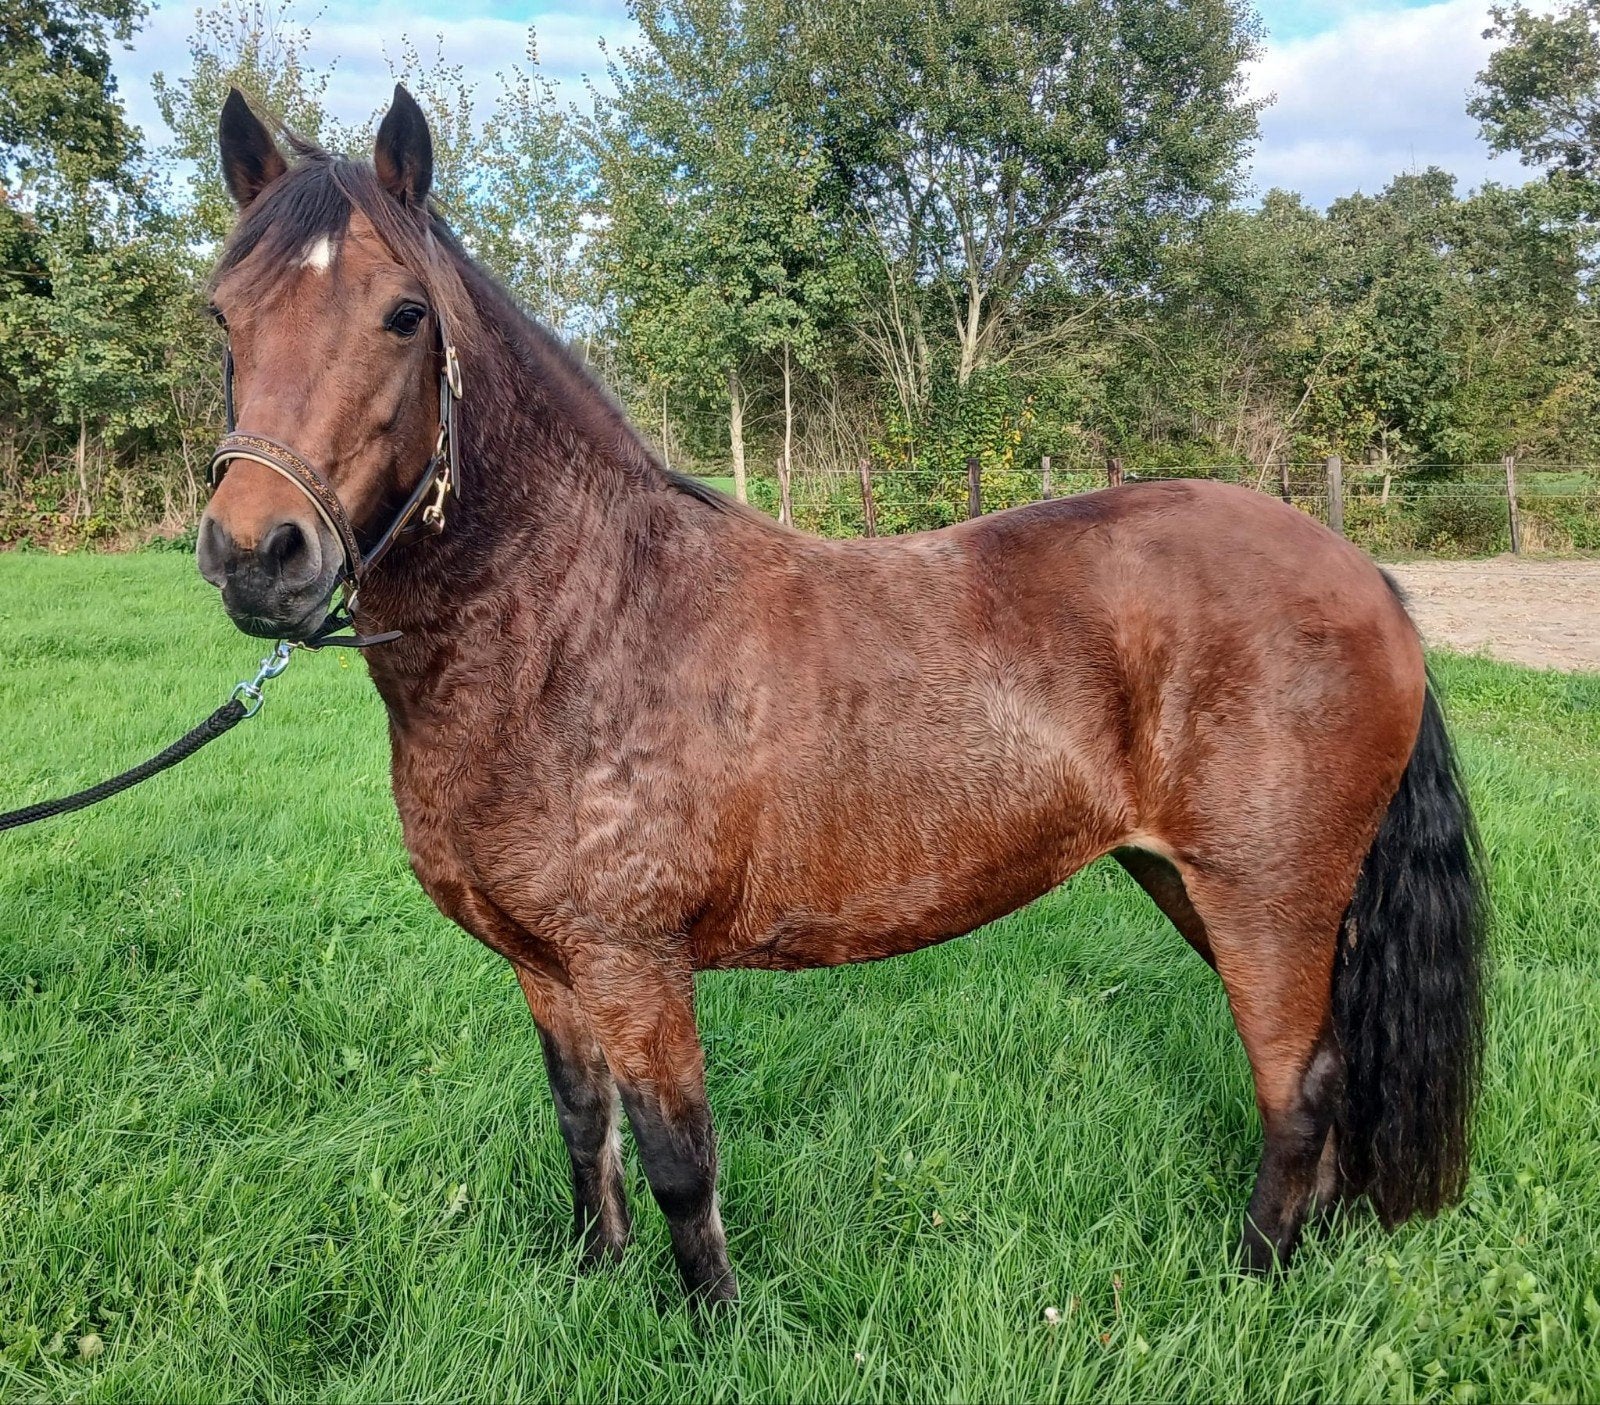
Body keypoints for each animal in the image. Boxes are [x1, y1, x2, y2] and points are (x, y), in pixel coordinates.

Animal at [196, 85, 1486, 1304]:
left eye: (404, 314)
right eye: (223, 314)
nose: (259, 552)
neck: (570, 626)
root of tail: (1361, 573)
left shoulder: (634, 963)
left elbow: (679, 1160)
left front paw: (711, 1329)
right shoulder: (544, 964)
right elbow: (582, 1127)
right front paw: (593, 1280)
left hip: (1265, 896)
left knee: (1297, 1084)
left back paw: (1254, 1276)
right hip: (1197, 886)